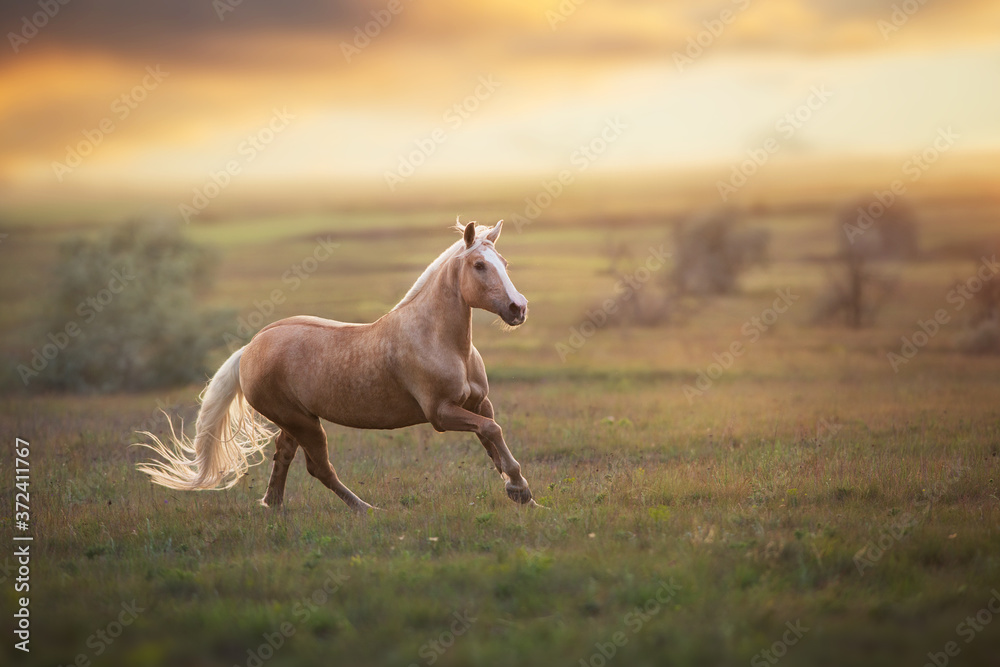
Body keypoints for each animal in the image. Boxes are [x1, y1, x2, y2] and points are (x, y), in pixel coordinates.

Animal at [137, 220, 539, 511]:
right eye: (479, 265)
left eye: (504, 263)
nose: (518, 308)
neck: (442, 342)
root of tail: (251, 347)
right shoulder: (440, 413)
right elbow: (492, 432)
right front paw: (520, 490)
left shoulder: (478, 403)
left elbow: (491, 439)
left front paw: (521, 493)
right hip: (303, 423)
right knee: (319, 468)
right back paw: (366, 510)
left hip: (296, 421)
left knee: (283, 456)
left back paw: (274, 507)